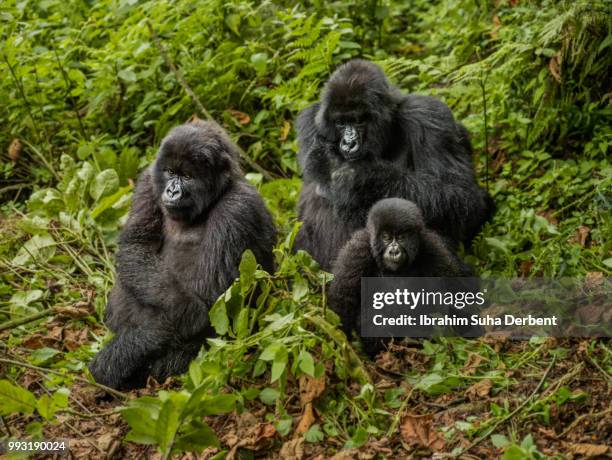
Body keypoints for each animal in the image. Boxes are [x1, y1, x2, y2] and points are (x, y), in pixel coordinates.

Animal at [88, 120, 274, 390]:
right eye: (170, 172)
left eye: (187, 176)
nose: (172, 191)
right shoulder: (148, 182)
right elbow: (136, 245)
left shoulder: (238, 208)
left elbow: (213, 299)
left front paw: (118, 356)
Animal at [296, 59, 492, 272]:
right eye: (340, 123)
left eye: (359, 120)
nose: (348, 143)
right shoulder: (310, 122)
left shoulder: (428, 115)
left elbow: (461, 194)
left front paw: (365, 178)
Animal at [330, 197, 474, 356]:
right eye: (386, 237)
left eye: (401, 237)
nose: (394, 251)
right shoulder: (357, 250)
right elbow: (344, 298)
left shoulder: (432, 248)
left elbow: (453, 290)